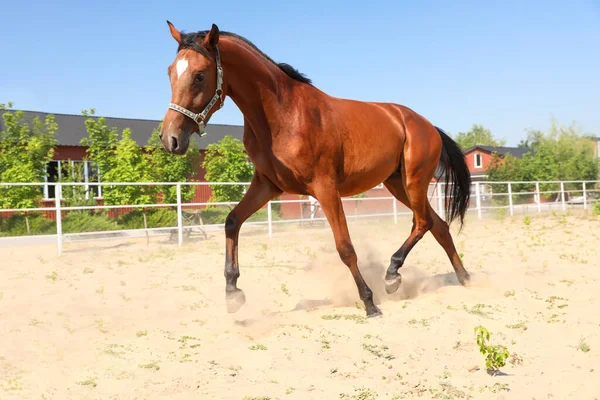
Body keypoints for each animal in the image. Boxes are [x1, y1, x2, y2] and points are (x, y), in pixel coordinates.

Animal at [159, 21, 474, 318]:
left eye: (200, 75)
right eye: (171, 72)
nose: (170, 139)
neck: (282, 114)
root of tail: (427, 125)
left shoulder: (325, 188)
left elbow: (345, 247)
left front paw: (370, 304)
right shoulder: (267, 185)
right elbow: (232, 221)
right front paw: (232, 293)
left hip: (414, 180)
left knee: (422, 223)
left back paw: (392, 275)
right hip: (397, 184)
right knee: (438, 226)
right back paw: (463, 277)